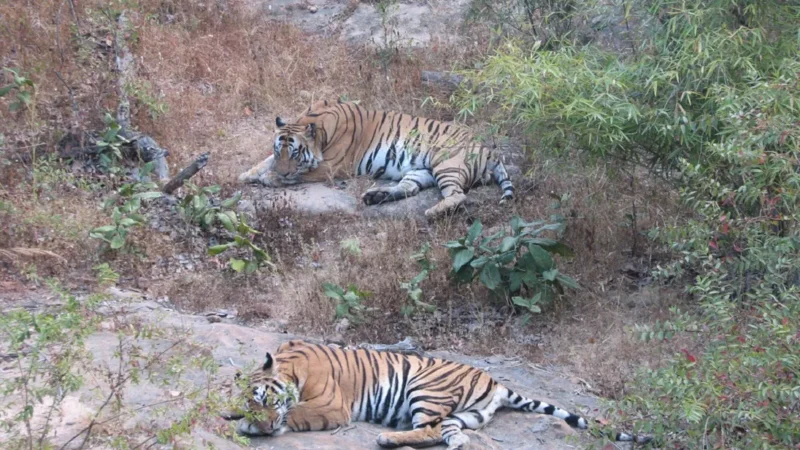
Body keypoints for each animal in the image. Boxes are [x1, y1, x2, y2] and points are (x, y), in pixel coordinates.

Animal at [234, 100, 516, 218]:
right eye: (279, 150)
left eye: (295, 153)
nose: (283, 171)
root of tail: (489, 149)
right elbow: (263, 161)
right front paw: (247, 173)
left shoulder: (330, 167)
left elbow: (298, 175)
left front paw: (271, 178)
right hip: (420, 170)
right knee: (408, 188)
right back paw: (375, 196)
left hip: (446, 165)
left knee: (458, 196)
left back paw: (432, 211)